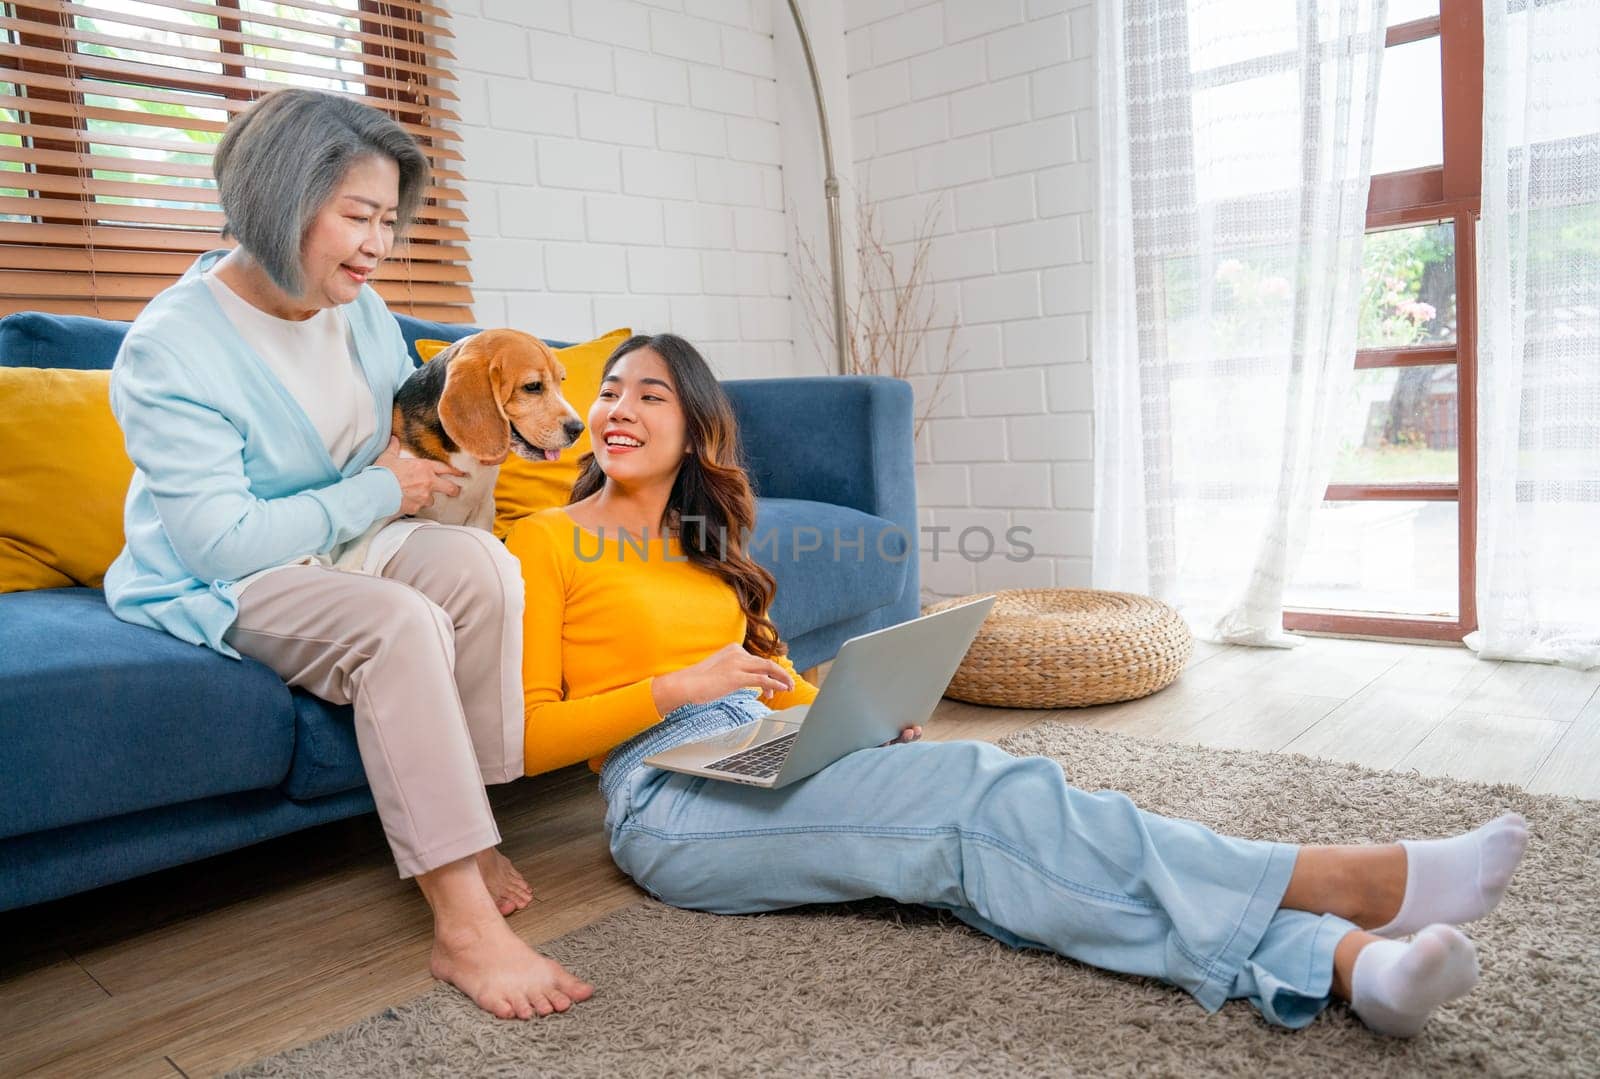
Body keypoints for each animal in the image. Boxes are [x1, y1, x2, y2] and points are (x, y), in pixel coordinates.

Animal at [334, 328, 585, 566]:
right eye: (532, 386)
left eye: (561, 380)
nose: (578, 428)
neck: (461, 454)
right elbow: (359, 547)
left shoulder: (482, 509)